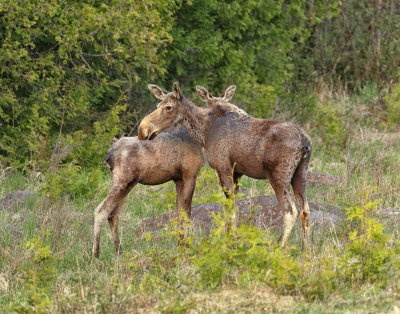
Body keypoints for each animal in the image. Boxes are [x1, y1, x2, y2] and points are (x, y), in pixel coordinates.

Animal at [138, 83, 312, 248]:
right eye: (158, 105)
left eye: (169, 107)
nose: (143, 130)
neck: (204, 132)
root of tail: (305, 142)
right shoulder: (237, 173)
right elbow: (231, 207)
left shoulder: (223, 168)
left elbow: (230, 208)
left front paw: (231, 242)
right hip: (300, 174)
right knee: (305, 210)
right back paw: (306, 250)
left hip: (279, 176)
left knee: (290, 211)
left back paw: (278, 247)